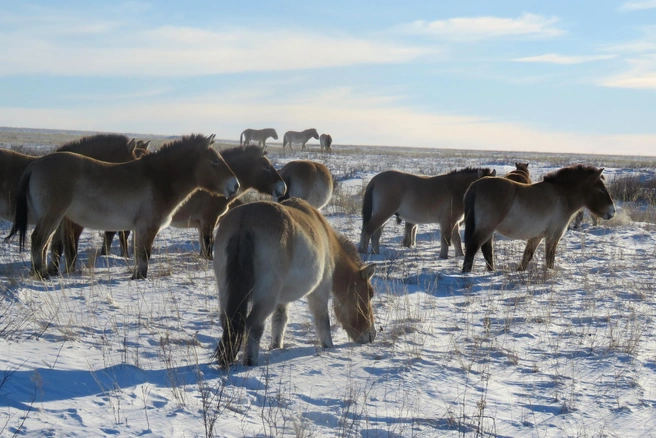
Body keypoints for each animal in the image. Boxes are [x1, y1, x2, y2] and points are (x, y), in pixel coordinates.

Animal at [6, 134, 239, 280]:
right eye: (215, 161)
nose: (235, 185)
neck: (158, 178)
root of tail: (37, 163)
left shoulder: (137, 228)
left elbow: (137, 253)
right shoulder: (147, 226)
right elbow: (144, 254)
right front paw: (140, 277)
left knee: (44, 243)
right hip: (52, 215)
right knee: (38, 240)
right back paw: (41, 274)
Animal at [104, 145, 287, 260]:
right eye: (266, 167)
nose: (283, 188)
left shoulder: (203, 224)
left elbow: (204, 245)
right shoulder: (208, 220)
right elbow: (208, 244)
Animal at [213, 198, 377, 367]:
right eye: (370, 294)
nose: (371, 335)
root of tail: (245, 220)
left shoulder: (281, 300)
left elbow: (280, 319)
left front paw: (276, 346)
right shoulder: (319, 291)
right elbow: (323, 321)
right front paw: (329, 346)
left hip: (226, 291)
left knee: (227, 321)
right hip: (266, 296)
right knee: (254, 324)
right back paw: (250, 362)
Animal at [358, 167, 497, 257]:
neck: (456, 189)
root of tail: (375, 179)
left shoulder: (455, 222)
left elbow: (456, 239)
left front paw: (460, 255)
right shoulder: (448, 220)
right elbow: (446, 238)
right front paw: (443, 256)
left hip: (382, 215)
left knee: (375, 234)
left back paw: (375, 253)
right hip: (383, 213)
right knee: (368, 231)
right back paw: (363, 251)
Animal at [462, 164, 615, 273]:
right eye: (601, 189)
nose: (612, 212)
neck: (562, 195)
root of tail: (475, 186)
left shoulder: (537, 236)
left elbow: (527, 257)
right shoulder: (553, 236)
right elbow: (550, 259)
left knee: (487, 250)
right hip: (486, 228)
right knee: (473, 248)